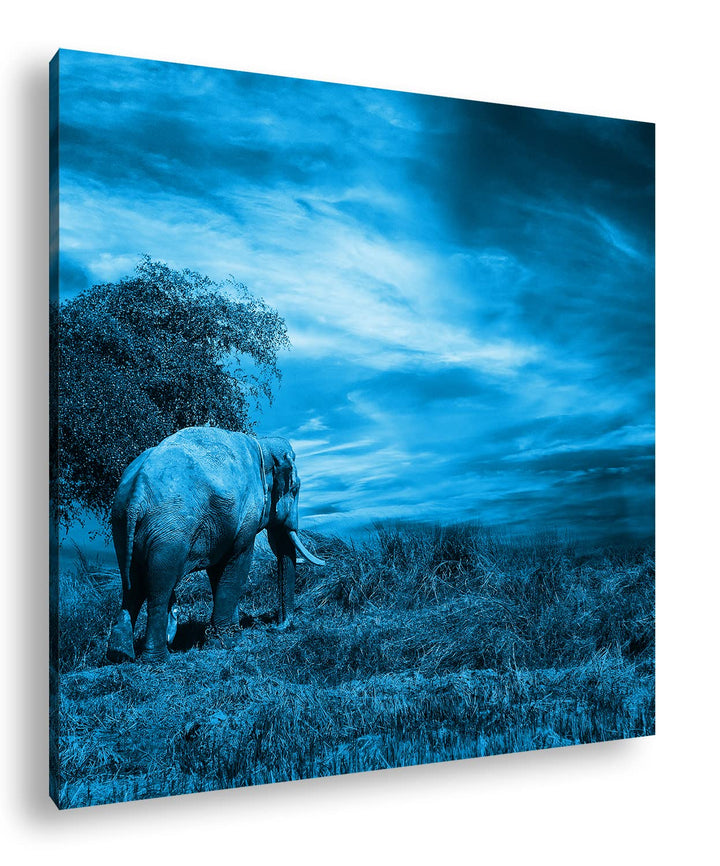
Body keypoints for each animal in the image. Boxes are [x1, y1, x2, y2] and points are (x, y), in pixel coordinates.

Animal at [106, 426, 324, 663]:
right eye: (295, 489)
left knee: (131, 585)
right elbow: (238, 561)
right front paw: (226, 642)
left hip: (121, 525)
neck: (262, 444)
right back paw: (157, 659)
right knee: (158, 588)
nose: (276, 626)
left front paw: (232, 634)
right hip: (169, 531)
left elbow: (218, 570)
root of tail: (137, 492)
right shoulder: (245, 516)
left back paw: (120, 656)